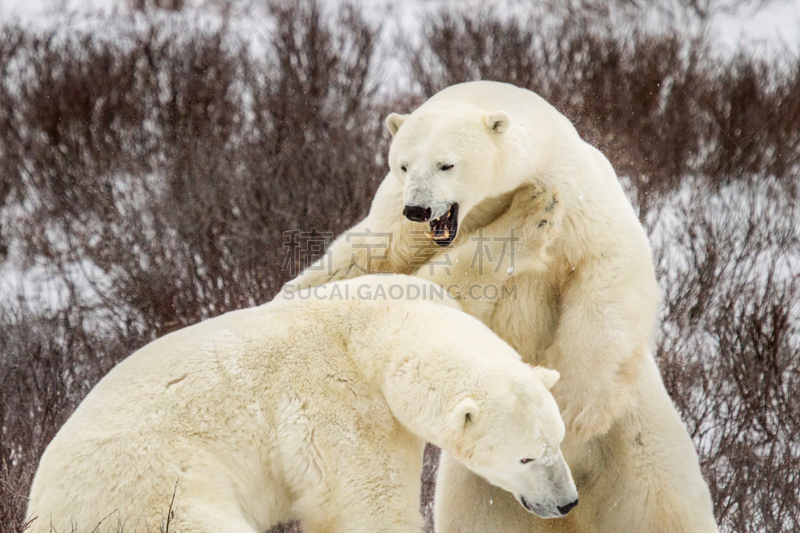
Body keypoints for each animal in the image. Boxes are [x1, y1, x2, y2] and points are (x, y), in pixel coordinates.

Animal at [25, 274, 576, 532]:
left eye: (559, 441)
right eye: (526, 457)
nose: (567, 501)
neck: (374, 330)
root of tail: (38, 507)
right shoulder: (341, 412)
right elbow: (365, 507)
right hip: (148, 489)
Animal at [288, 81, 720, 528]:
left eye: (446, 164)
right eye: (403, 165)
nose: (418, 208)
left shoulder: (577, 193)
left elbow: (607, 266)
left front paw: (573, 408)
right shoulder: (398, 218)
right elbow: (370, 262)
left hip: (641, 446)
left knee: (664, 506)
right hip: (487, 486)